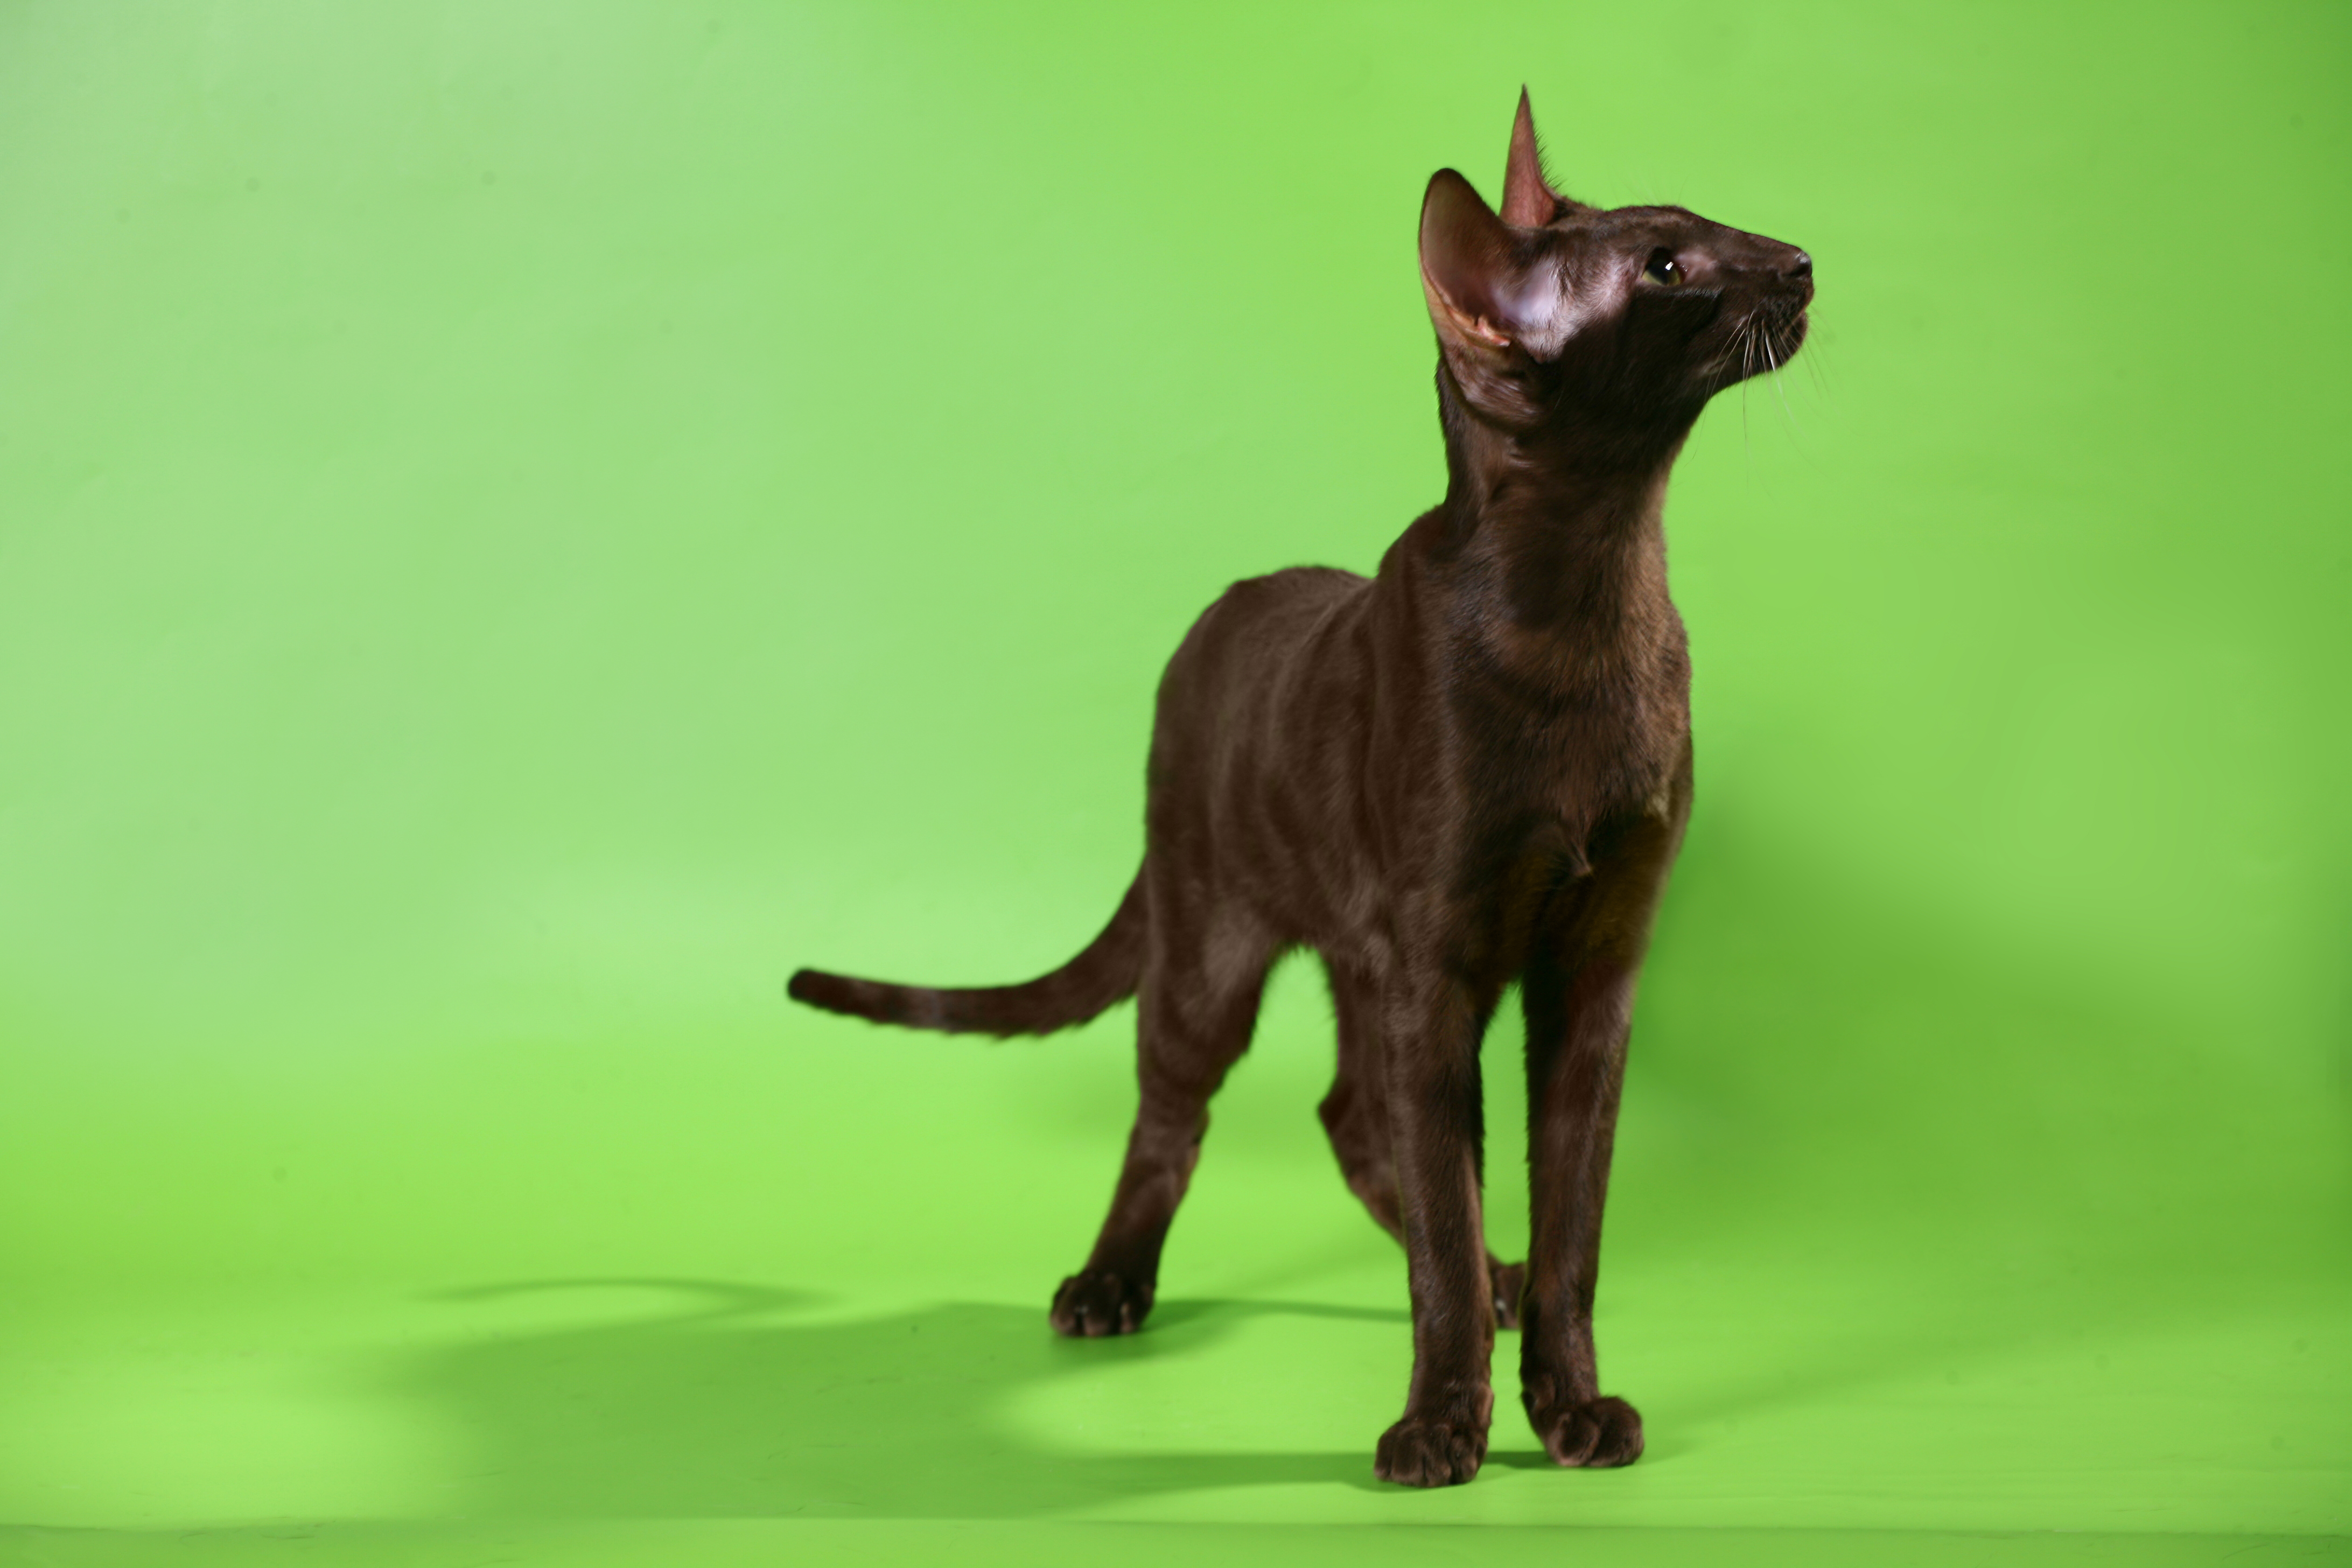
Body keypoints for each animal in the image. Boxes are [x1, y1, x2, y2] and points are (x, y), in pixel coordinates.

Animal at [789, 90, 1811, 1487]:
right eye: (1666, 268)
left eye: (1707, 225)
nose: (1800, 262)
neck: (1593, 587)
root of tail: (1220, 611)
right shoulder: (1439, 962)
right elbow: (1442, 1215)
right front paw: (1441, 1427)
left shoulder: (1597, 966)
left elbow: (1570, 1227)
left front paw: (1569, 1405)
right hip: (1218, 950)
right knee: (1181, 1116)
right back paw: (1109, 1286)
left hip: (1362, 959)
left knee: (1349, 1116)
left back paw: (1494, 1282)